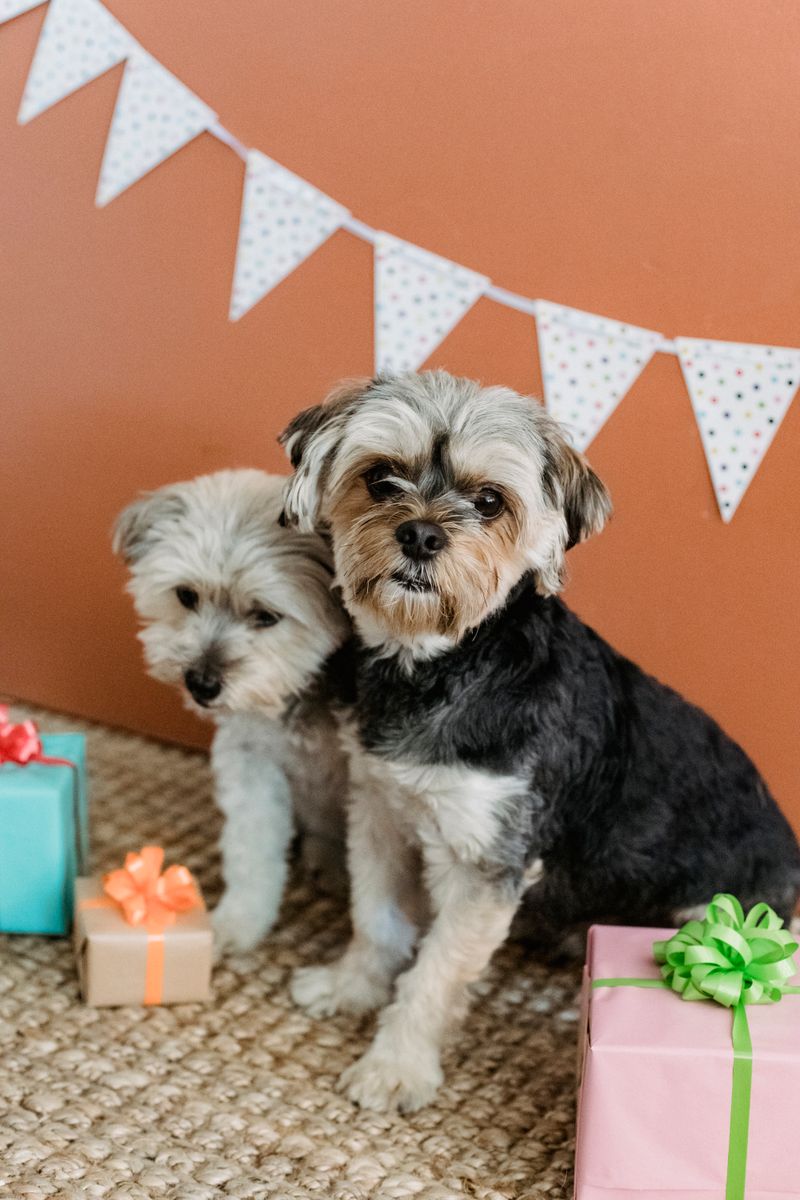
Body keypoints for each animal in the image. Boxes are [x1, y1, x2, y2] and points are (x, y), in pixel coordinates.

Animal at [113, 472, 350, 950]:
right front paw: (239, 922)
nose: (201, 684)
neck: (297, 690)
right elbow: (251, 854)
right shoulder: (250, 766)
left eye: (266, 616)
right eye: (186, 595)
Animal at [280, 369, 800, 1108]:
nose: (420, 535)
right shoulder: (380, 808)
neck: (442, 662)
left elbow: (435, 972)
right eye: (380, 478)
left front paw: (395, 1066)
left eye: (489, 502)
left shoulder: (485, 864)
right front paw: (350, 988)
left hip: (705, 909)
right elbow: (374, 917)